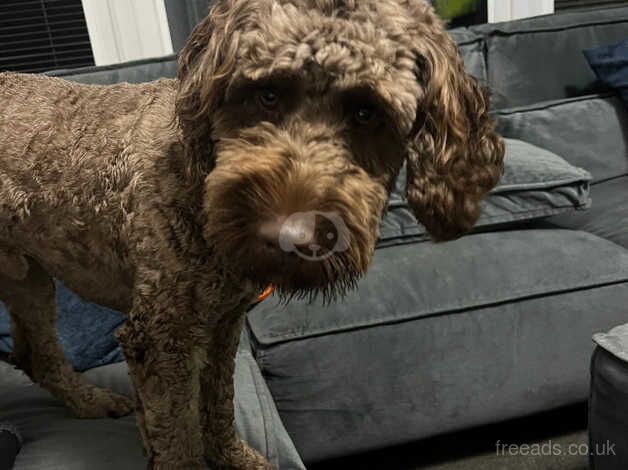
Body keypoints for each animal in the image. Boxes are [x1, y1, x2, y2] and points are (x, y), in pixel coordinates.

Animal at [0, 0, 502, 470]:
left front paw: (234, 458)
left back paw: (90, 402)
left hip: (27, 278)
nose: (290, 235)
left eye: (366, 113)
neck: (200, 173)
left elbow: (217, 407)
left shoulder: (222, 324)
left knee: (36, 355)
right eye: (267, 94)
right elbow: (176, 438)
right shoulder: (160, 338)